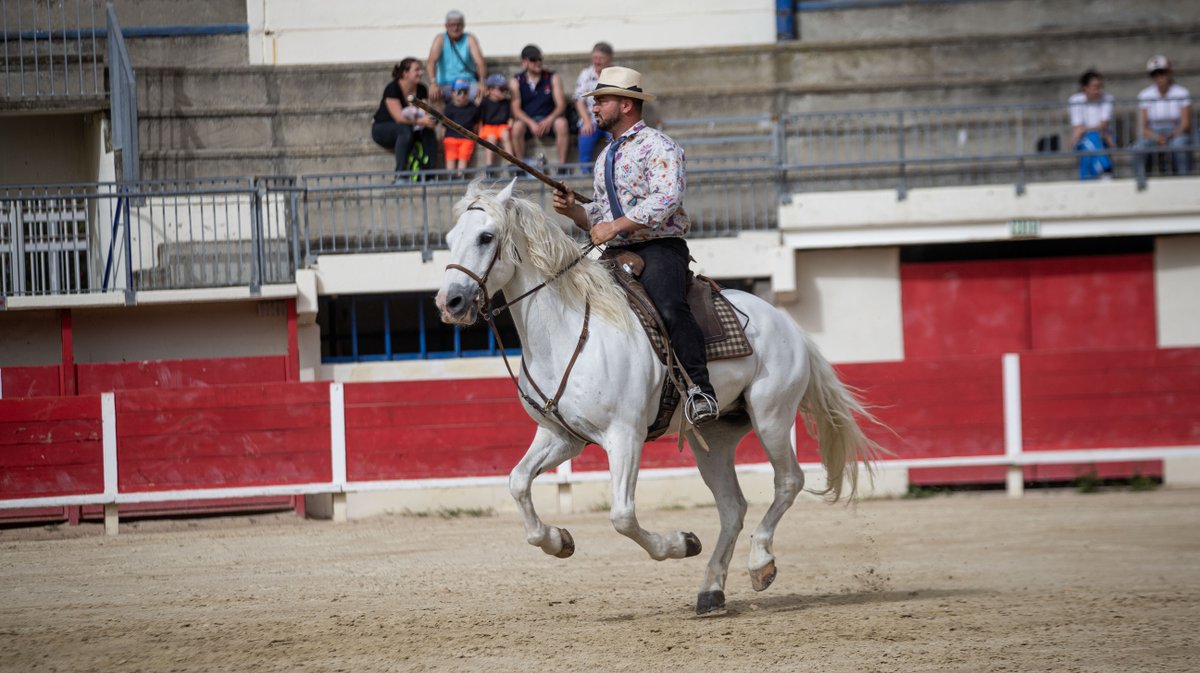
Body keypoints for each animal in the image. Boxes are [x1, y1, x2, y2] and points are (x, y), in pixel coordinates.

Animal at [436, 179, 878, 614]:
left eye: (486, 236)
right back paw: (711, 590)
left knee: (788, 481)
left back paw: (760, 563)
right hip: (715, 439)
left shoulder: (624, 436)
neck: (570, 330)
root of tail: (788, 324)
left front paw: (682, 543)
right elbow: (517, 482)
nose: (449, 301)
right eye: (450, 238)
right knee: (732, 507)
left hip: (772, 417)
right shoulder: (562, 437)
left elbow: (622, 516)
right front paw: (558, 540)